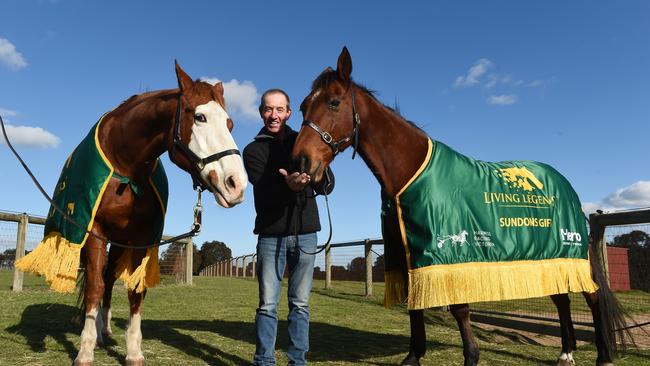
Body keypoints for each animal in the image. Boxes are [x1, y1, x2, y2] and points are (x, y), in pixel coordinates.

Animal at [18, 61, 246, 364]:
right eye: (200, 117)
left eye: (229, 124)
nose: (237, 184)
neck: (125, 166)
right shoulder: (94, 231)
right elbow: (94, 287)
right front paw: (85, 350)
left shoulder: (141, 237)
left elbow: (134, 291)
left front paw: (133, 351)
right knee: (100, 283)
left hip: (119, 243)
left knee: (110, 280)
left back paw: (105, 331)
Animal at [292, 47, 628, 364]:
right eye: (303, 106)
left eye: (334, 102)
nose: (301, 161)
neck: (410, 173)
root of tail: (565, 184)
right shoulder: (411, 255)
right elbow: (415, 306)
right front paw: (413, 356)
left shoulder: (449, 257)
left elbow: (459, 309)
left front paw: (471, 356)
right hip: (549, 255)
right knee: (562, 299)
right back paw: (566, 353)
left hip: (572, 252)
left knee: (592, 297)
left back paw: (603, 356)